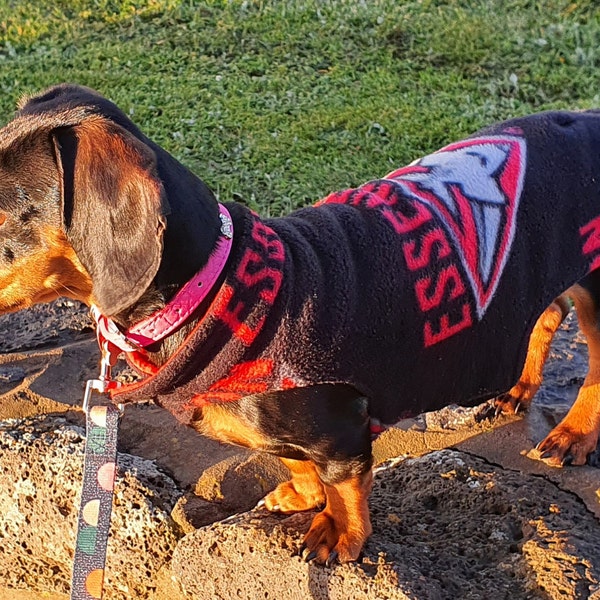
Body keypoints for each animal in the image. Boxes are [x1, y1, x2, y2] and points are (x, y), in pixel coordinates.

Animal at [1, 82, 600, 564]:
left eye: (4, 213)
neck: (220, 294)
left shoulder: (342, 434)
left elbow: (344, 485)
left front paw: (338, 534)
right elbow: (293, 462)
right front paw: (300, 494)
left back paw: (572, 435)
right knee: (549, 312)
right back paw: (518, 391)